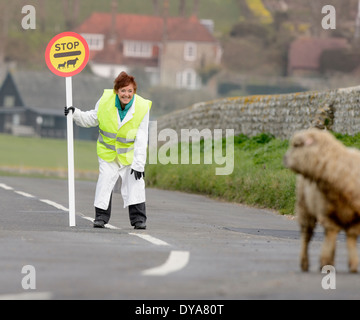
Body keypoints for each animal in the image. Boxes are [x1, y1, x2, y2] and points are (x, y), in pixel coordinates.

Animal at [282, 127, 360, 272]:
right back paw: (305, 263)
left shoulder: (356, 217)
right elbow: (330, 234)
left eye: (296, 145)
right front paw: (325, 260)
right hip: (305, 208)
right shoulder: (327, 213)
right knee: (306, 236)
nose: (284, 158)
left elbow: (351, 237)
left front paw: (353, 265)